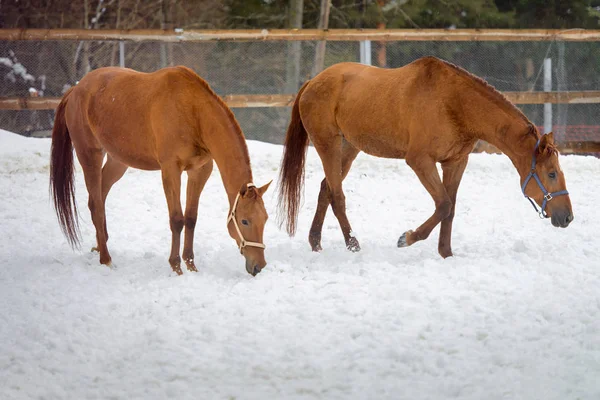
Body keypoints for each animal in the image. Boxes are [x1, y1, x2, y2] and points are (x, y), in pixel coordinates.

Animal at [51, 66, 272, 278]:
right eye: (244, 221)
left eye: (265, 218)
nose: (259, 266)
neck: (193, 112)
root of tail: (76, 90)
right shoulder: (170, 170)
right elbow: (177, 219)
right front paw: (176, 267)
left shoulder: (199, 171)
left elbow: (191, 218)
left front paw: (191, 266)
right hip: (90, 156)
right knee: (96, 206)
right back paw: (106, 259)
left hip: (117, 161)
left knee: (98, 198)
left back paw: (100, 246)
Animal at [278, 55, 576, 256]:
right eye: (551, 173)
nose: (568, 218)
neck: (454, 103)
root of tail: (312, 82)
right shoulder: (420, 161)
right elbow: (443, 205)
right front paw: (407, 238)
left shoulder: (455, 163)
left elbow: (450, 208)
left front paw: (446, 253)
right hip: (327, 144)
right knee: (337, 196)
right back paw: (352, 244)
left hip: (349, 148)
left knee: (326, 189)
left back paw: (316, 242)